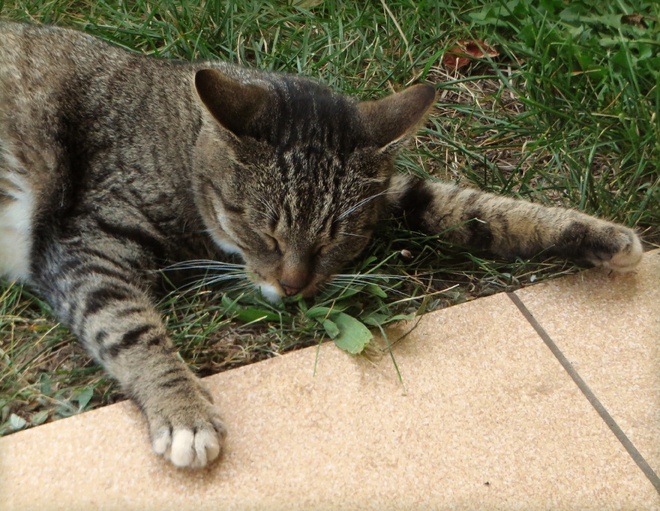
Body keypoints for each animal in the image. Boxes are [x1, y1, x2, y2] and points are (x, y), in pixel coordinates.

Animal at [0, 22, 640, 470]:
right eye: (263, 230)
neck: (182, 141)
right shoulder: (85, 239)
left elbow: (468, 205)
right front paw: (183, 412)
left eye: (340, 238)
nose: (293, 288)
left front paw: (596, 235)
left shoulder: (388, 196)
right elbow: (129, 326)